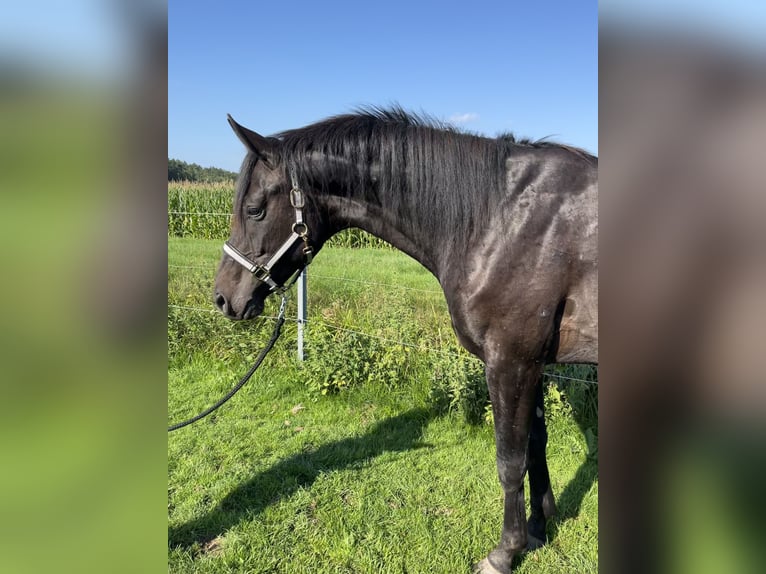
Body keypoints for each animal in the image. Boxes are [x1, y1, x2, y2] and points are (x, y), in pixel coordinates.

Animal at [214, 108, 600, 574]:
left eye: (254, 210)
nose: (223, 298)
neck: (499, 216)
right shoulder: (533, 363)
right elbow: (535, 446)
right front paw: (539, 531)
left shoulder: (511, 361)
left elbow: (510, 460)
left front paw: (505, 551)